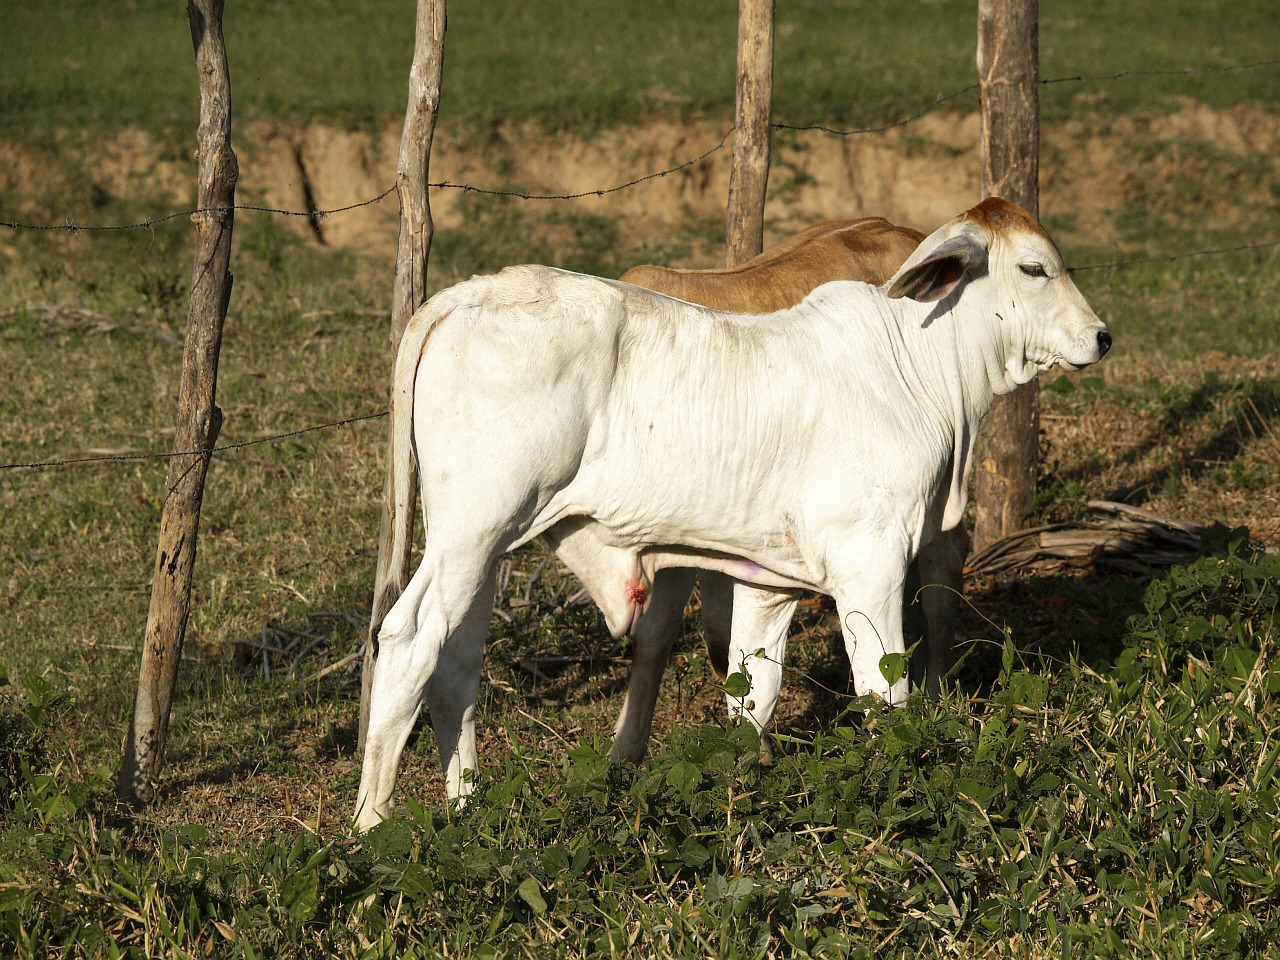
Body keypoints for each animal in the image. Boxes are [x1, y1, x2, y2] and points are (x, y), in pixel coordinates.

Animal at [358, 199, 1111, 829]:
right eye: (1034, 267)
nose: (1101, 336)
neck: (919, 365)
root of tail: (468, 294)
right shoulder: (868, 563)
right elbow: (882, 689)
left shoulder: (766, 580)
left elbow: (754, 691)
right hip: (471, 532)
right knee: (409, 640)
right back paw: (373, 823)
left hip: (485, 546)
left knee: (456, 661)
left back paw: (466, 807)